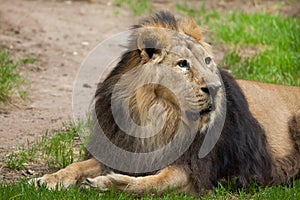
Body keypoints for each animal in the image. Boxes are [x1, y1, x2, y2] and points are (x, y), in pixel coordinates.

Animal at [32, 11, 300, 195]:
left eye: (207, 61)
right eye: (183, 64)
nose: (214, 89)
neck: (156, 115)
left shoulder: (190, 171)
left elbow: (152, 183)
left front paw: (108, 183)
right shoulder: (122, 149)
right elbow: (77, 166)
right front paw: (50, 179)